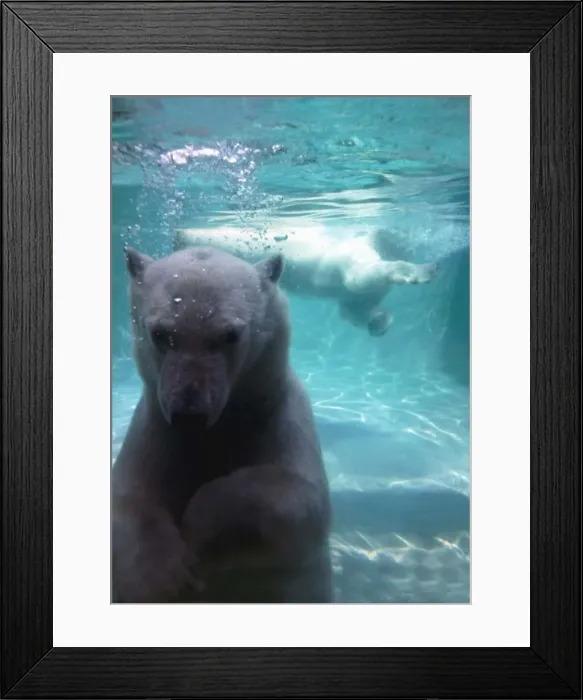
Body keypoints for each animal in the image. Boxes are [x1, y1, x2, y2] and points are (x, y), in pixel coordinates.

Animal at [112, 245, 333, 603]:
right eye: (160, 334)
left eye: (229, 335)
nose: (189, 416)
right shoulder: (155, 432)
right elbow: (127, 500)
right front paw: (164, 575)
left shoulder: (278, 419)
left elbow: (302, 500)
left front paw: (199, 524)